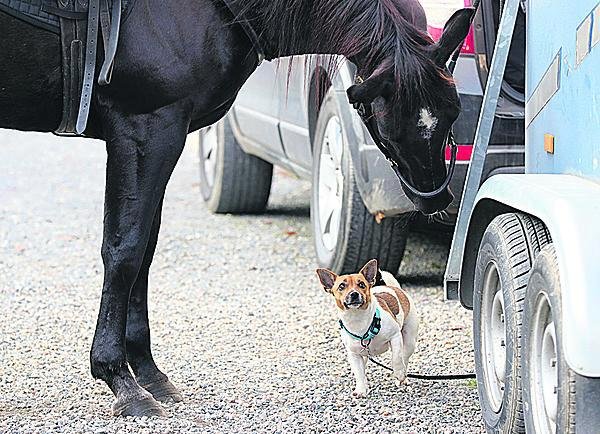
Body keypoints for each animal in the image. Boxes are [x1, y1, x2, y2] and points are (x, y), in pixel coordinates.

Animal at [316, 258, 420, 396]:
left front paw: (399, 374)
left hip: (409, 341)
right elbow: (359, 373)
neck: (358, 320)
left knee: (404, 357)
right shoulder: (354, 354)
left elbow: (397, 358)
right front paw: (361, 389)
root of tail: (391, 287)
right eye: (341, 286)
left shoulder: (395, 336)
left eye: (361, 285)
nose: (354, 294)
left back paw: (402, 378)